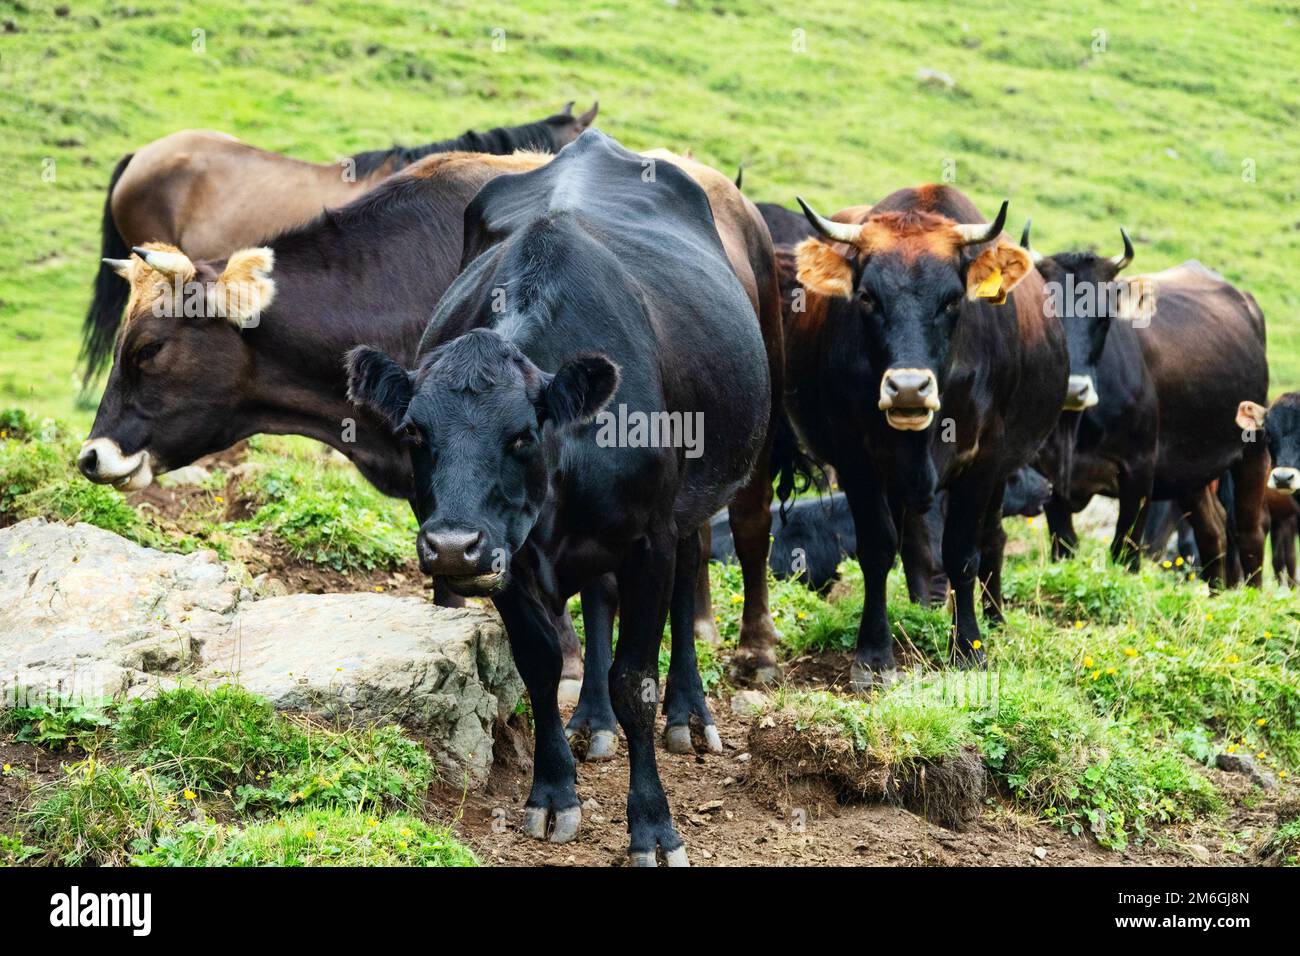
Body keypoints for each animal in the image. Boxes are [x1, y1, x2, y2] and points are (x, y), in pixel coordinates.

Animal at [344, 130, 773, 865]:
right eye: (415, 433)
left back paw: (689, 715)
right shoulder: (509, 555)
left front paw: (653, 827)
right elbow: (540, 666)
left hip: (695, 498)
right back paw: (592, 720)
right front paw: (552, 793)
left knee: (689, 573)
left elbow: (636, 679)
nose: (452, 547)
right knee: (599, 599)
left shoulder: (648, 538)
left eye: (522, 434)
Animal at [783, 185, 1068, 689]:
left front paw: (969, 648)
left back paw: (994, 618)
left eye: (952, 300)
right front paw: (873, 655)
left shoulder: (983, 461)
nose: (908, 388)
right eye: (867, 298)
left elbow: (962, 552)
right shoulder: (855, 459)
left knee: (992, 537)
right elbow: (878, 547)